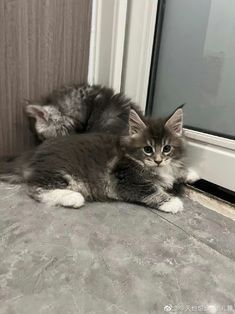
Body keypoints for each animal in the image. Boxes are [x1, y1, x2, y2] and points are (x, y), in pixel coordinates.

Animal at [0, 108, 198, 213]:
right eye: (147, 149)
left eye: (167, 148)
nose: (158, 160)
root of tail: (33, 152)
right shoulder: (126, 178)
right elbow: (150, 190)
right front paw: (172, 202)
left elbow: (176, 170)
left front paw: (191, 174)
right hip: (60, 170)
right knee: (36, 189)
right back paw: (73, 197)